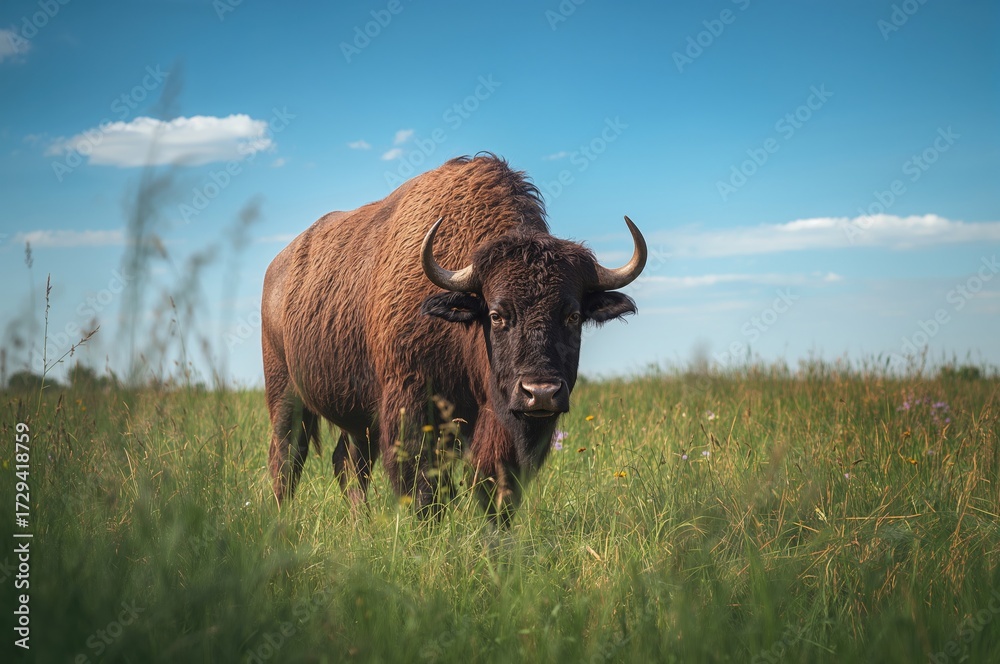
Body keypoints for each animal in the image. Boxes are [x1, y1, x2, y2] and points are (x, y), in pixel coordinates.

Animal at [262, 154, 646, 523]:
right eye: (496, 315)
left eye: (573, 316)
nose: (540, 393)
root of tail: (275, 268)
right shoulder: (410, 405)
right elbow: (425, 489)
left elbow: (495, 488)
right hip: (285, 394)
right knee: (287, 459)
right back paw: (282, 521)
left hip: (356, 417)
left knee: (348, 462)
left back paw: (361, 524)